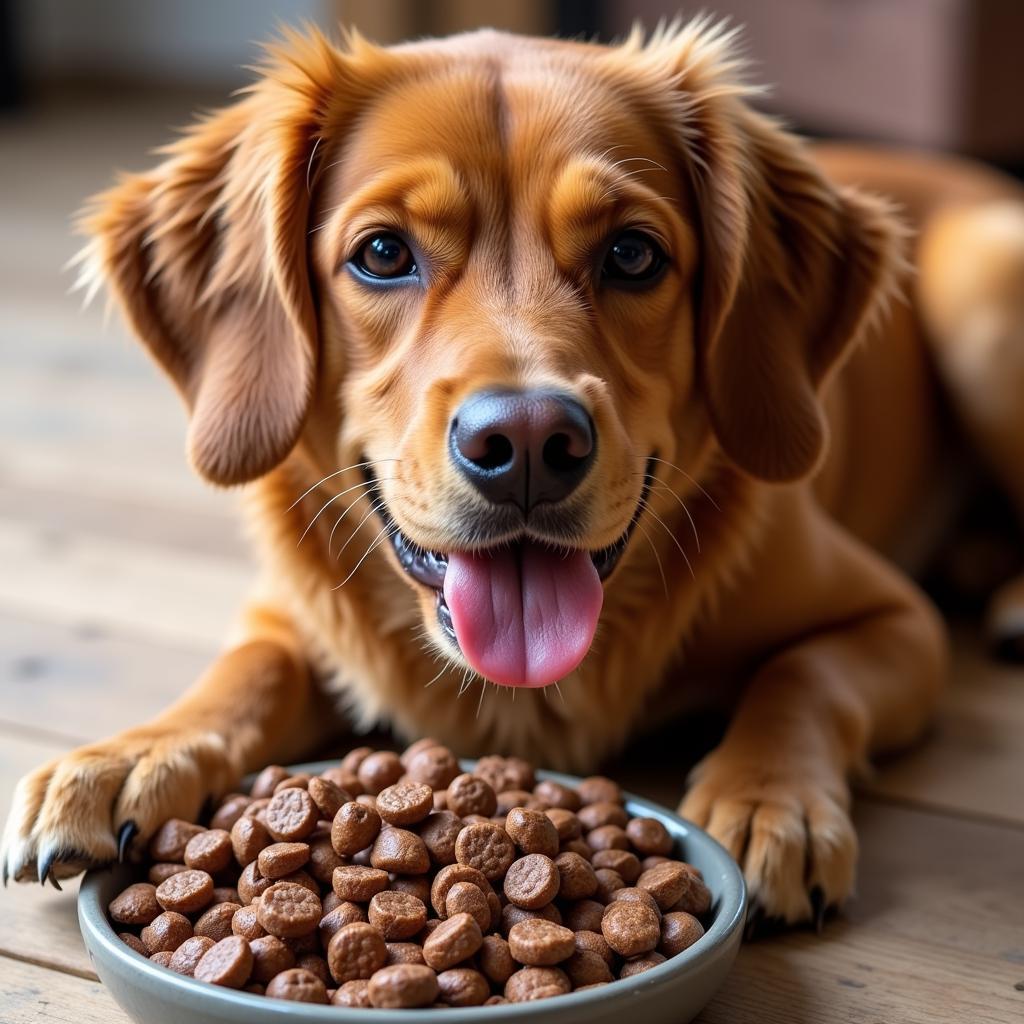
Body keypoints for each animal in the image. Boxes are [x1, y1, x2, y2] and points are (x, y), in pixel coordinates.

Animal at [2, 22, 1024, 929]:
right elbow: (246, 669)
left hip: (978, 287)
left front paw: (771, 799)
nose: (528, 443)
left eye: (632, 253)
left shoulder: (897, 620)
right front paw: (134, 754)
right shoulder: (289, 611)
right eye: (382, 253)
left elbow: (804, 677)